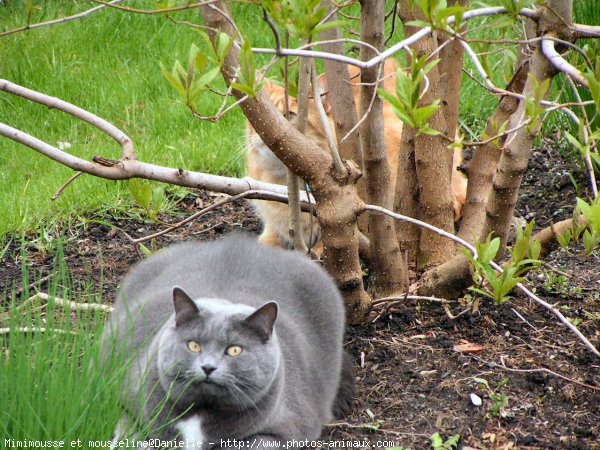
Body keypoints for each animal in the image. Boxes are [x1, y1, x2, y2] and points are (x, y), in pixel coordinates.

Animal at [102, 234, 352, 448]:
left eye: (234, 350)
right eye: (194, 345)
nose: (208, 367)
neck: (200, 412)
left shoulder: (289, 428)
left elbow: (248, 444)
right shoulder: (121, 399)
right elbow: (129, 435)